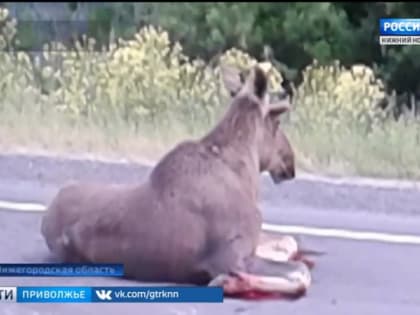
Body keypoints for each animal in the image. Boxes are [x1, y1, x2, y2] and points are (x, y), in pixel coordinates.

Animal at [41, 64, 312, 302]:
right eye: (277, 121)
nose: (290, 163)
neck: (247, 175)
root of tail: (46, 220)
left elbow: (291, 245)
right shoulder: (231, 256)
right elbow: (301, 273)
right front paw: (228, 282)